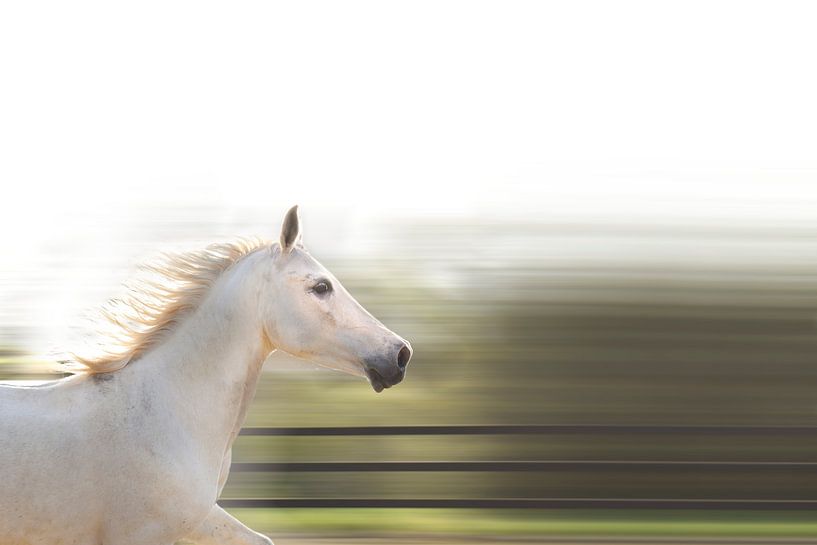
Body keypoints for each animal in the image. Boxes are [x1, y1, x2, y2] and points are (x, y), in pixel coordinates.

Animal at [0, 205, 412, 545]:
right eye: (321, 286)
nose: (400, 354)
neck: (166, 416)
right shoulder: (142, 534)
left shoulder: (196, 520)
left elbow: (262, 540)